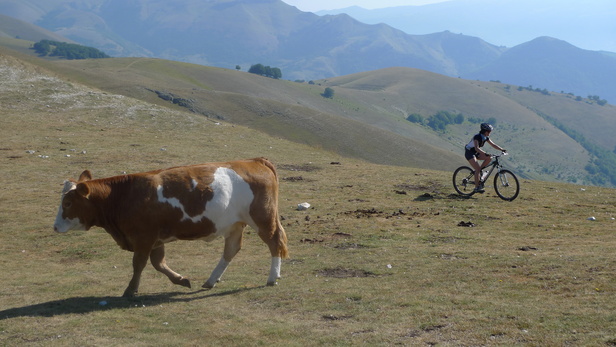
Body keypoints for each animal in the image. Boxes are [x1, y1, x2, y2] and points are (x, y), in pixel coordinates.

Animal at [53, 159, 288, 298]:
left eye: (68, 203)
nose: (55, 227)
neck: (124, 195)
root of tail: (254, 161)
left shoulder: (144, 237)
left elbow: (139, 264)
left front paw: (131, 290)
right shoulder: (156, 239)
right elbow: (159, 263)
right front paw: (181, 280)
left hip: (262, 218)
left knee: (275, 242)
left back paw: (272, 278)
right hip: (234, 224)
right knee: (231, 249)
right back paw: (211, 280)